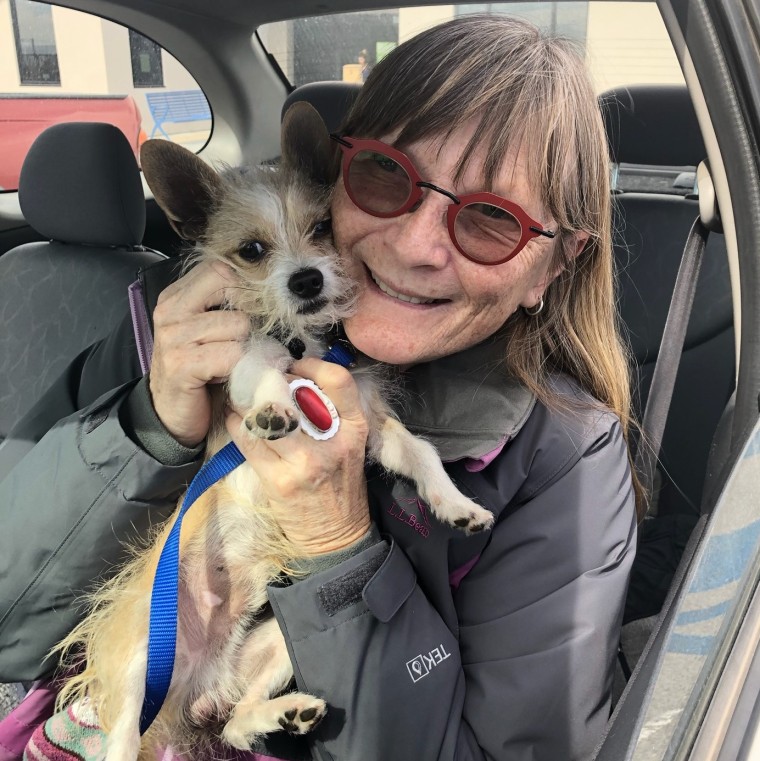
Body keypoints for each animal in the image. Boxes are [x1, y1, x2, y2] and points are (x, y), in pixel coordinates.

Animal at [55, 104, 492, 760]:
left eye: (322, 228)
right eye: (252, 250)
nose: (307, 280)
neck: (303, 342)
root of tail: (196, 687)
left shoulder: (369, 425)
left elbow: (419, 452)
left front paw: (455, 504)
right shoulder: (241, 360)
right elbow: (258, 368)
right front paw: (272, 408)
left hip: (279, 645)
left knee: (236, 721)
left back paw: (282, 715)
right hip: (142, 663)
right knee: (122, 739)